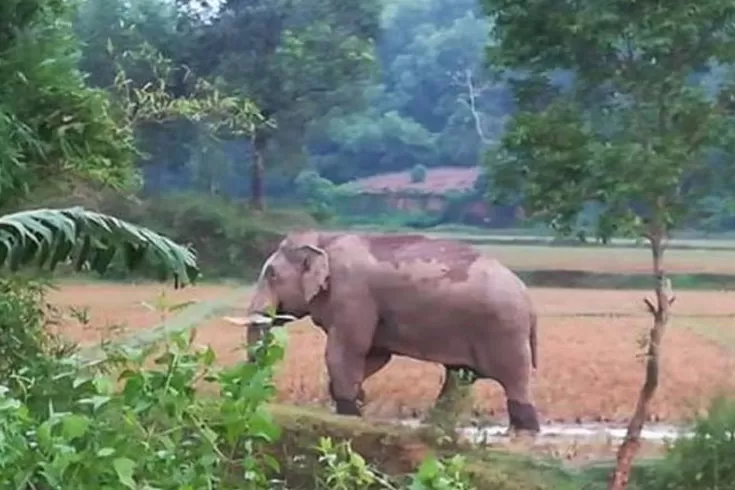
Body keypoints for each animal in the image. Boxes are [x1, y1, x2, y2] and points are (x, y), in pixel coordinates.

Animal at [242, 230, 540, 432]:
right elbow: (375, 355)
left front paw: (350, 412)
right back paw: (435, 424)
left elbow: (347, 351)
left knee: (514, 382)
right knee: (458, 378)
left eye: (271, 275)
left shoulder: (353, 294)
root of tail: (528, 300)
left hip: (504, 330)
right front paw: (357, 400)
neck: (324, 239)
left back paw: (525, 429)